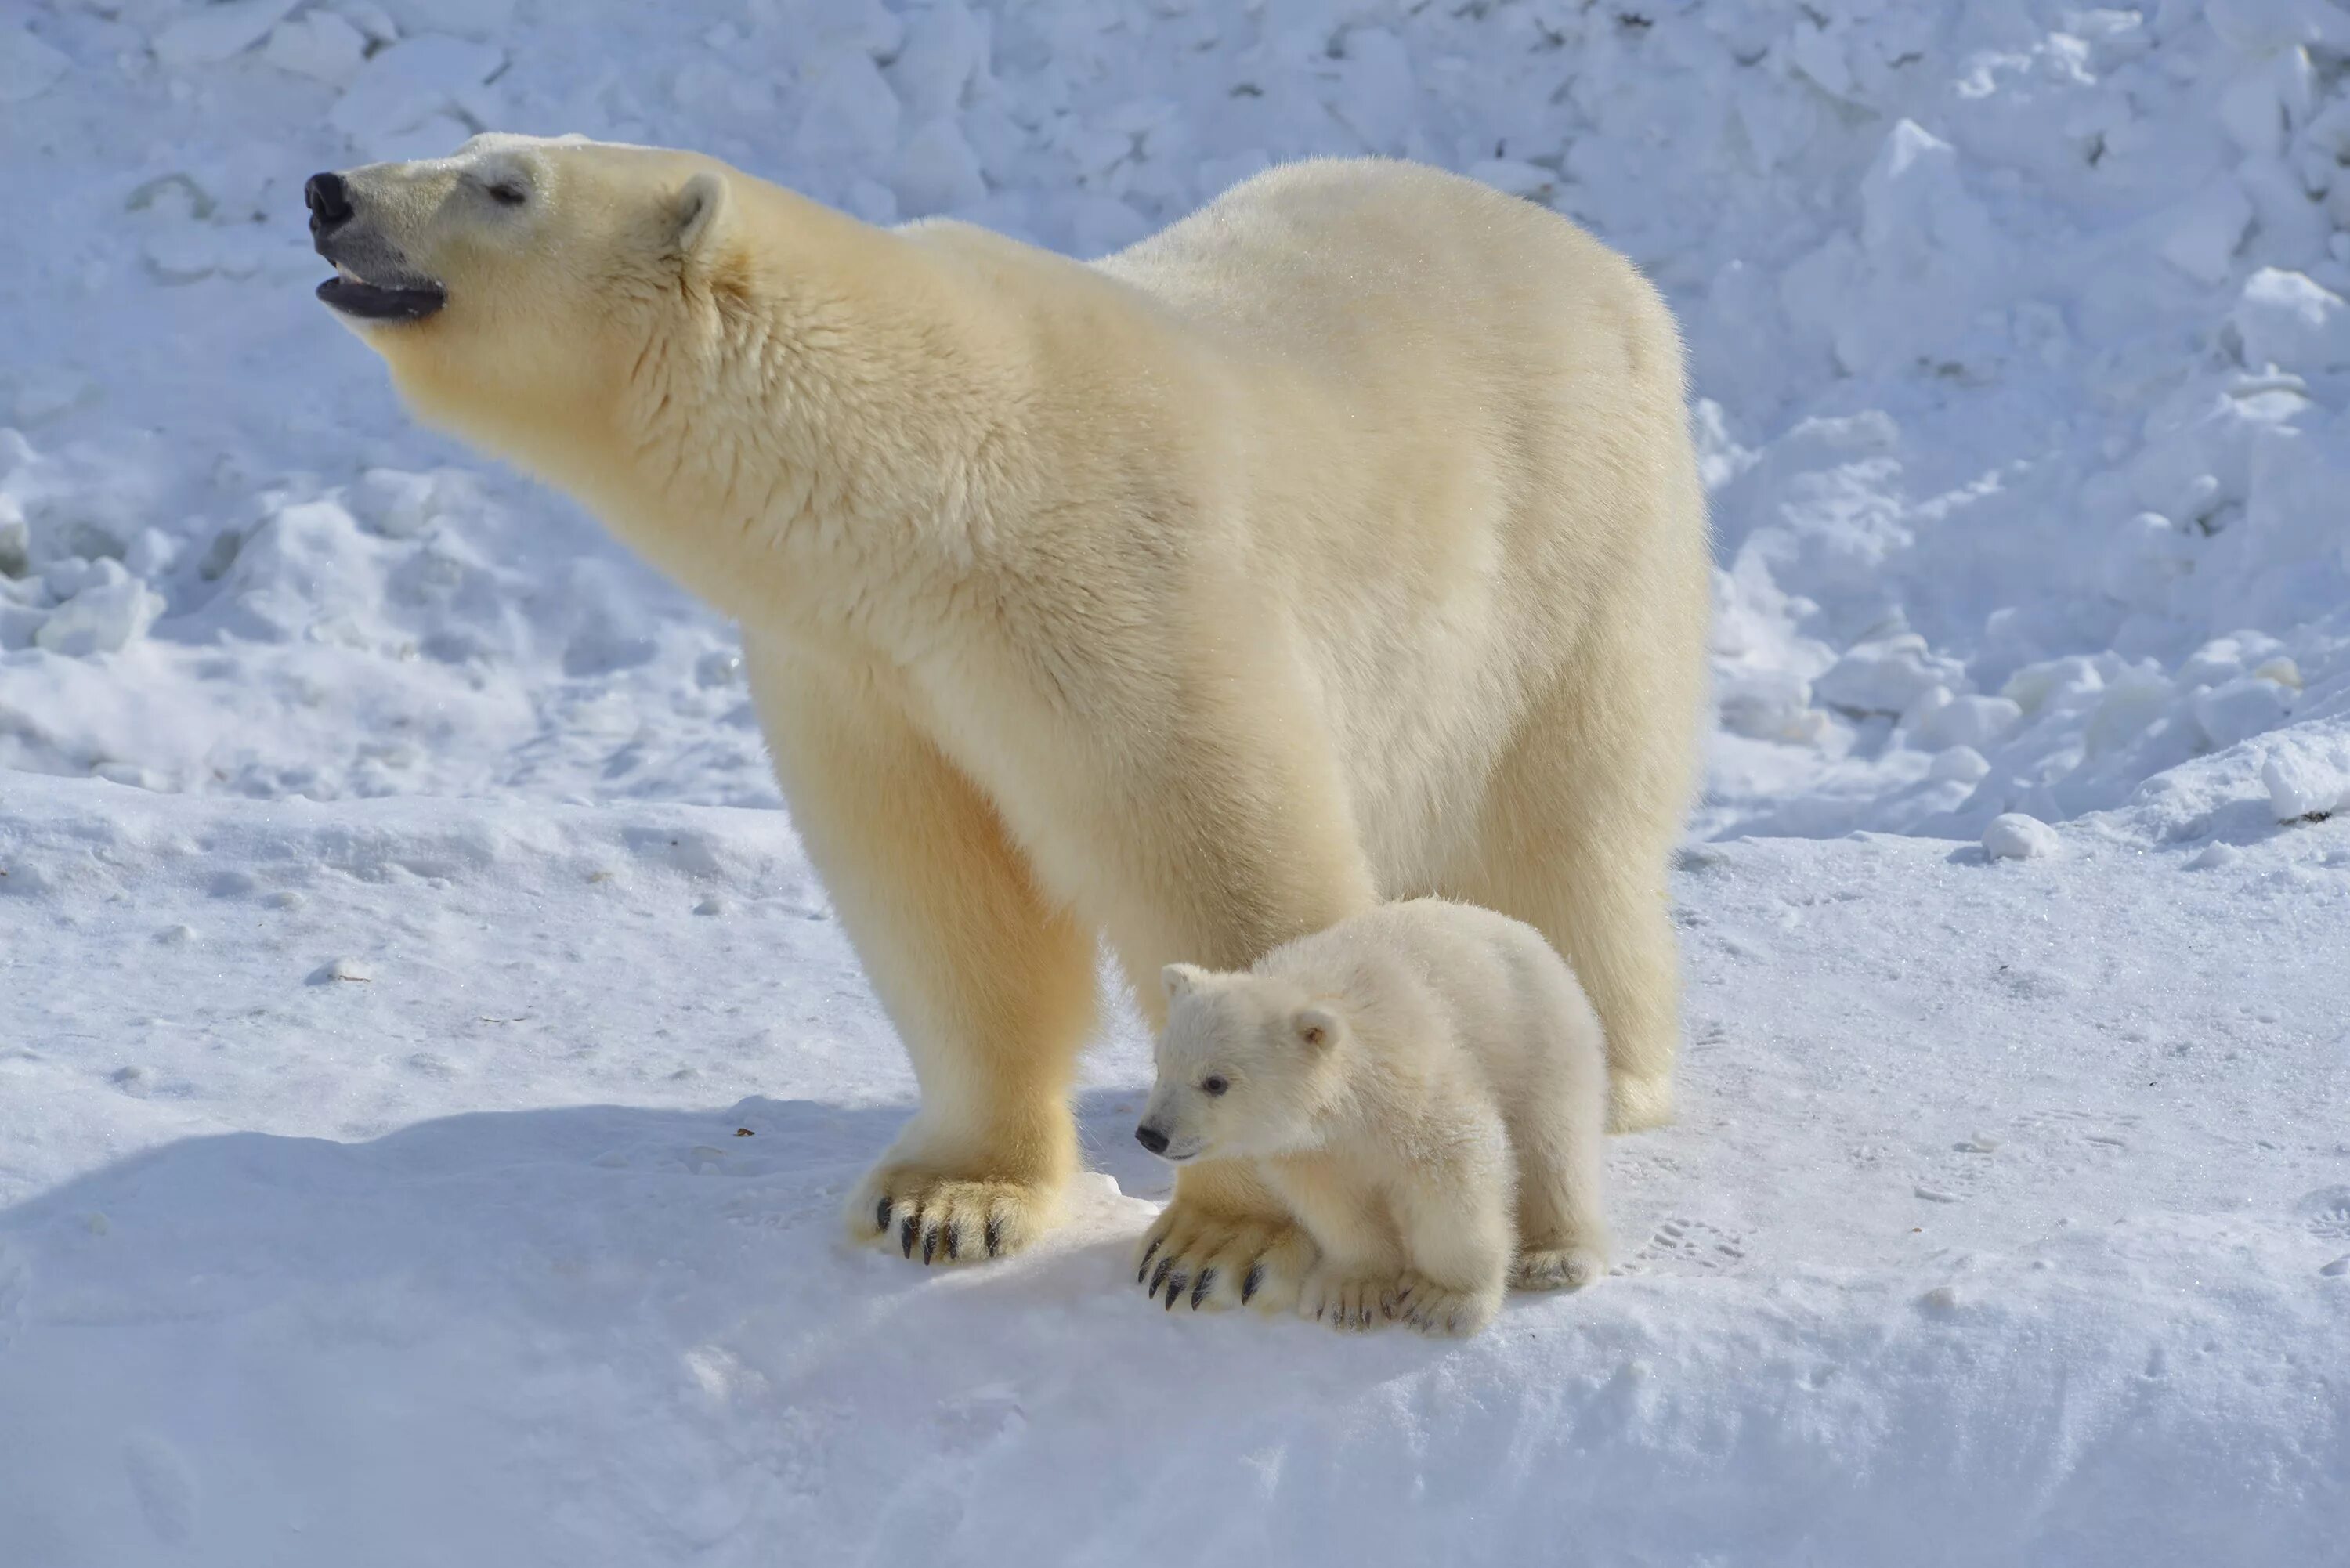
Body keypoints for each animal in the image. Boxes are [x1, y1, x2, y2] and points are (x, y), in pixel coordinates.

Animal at [308, 135, 1711, 1316]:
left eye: (506, 184)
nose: (329, 192)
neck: (936, 481)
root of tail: (1594, 256)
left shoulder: (1120, 591)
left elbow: (1226, 856)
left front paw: (1224, 1233)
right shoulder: (864, 672)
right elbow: (944, 901)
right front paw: (948, 1201)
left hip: (1576, 554)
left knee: (1565, 828)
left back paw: (1606, 1070)